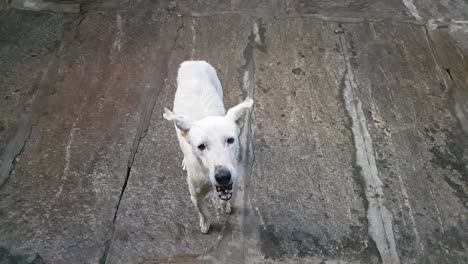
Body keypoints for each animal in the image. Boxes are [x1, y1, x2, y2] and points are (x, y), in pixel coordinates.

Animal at [164, 60, 254, 233]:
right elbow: (203, 212)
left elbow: (226, 198)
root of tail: (193, 61)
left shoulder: (231, 182)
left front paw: (225, 206)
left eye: (230, 140)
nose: (223, 176)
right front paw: (205, 224)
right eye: (201, 146)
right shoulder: (195, 195)